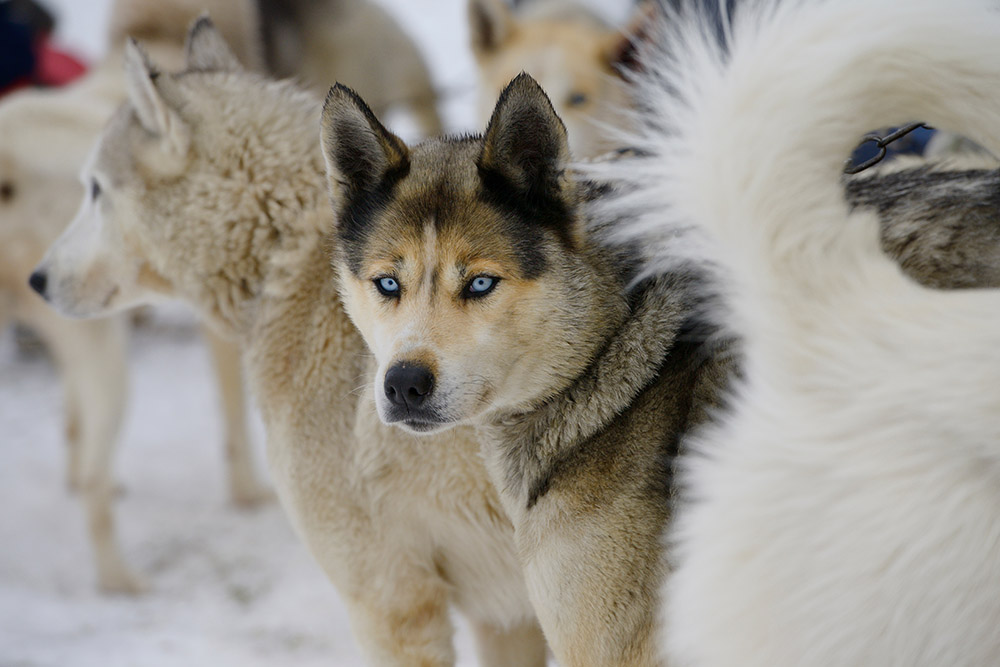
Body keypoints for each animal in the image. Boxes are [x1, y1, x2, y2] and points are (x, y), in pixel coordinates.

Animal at [0, 0, 270, 596]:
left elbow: (71, 420)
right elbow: (237, 422)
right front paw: (251, 494)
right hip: (111, 363)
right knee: (97, 488)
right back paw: (121, 580)